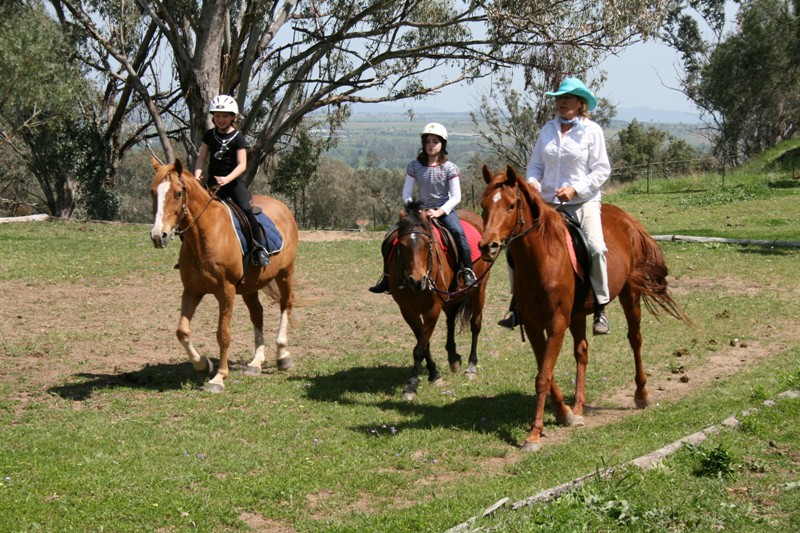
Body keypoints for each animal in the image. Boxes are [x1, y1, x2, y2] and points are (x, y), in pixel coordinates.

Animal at [149, 158, 296, 390]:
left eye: (178, 193)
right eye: (153, 192)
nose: (158, 235)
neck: (205, 234)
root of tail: (283, 208)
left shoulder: (226, 290)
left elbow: (223, 334)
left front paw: (219, 377)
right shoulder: (192, 290)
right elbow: (182, 331)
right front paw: (203, 364)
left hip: (285, 272)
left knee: (286, 303)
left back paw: (282, 355)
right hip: (250, 285)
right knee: (258, 313)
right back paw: (256, 362)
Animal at [390, 201, 490, 400]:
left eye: (428, 244)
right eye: (402, 245)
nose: (417, 280)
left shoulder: (433, 309)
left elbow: (420, 348)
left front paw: (411, 386)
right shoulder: (407, 310)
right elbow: (423, 343)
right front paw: (433, 374)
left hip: (479, 289)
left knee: (475, 324)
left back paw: (471, 367)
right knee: (451, 318)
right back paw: (453, 357)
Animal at [478, 165, 692, 448]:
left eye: (511, 205)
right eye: (483, 207)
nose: (487, 245)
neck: (543, 258)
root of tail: (627, 219)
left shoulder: (557, 322)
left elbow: (543, 376)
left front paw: (535, 433)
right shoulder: (534, 325)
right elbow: (546, 371)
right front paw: (566, 414)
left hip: (630, 293)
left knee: (635, 339)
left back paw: (641, 394)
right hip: (578, 313)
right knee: (582, 352)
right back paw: (579, 406)